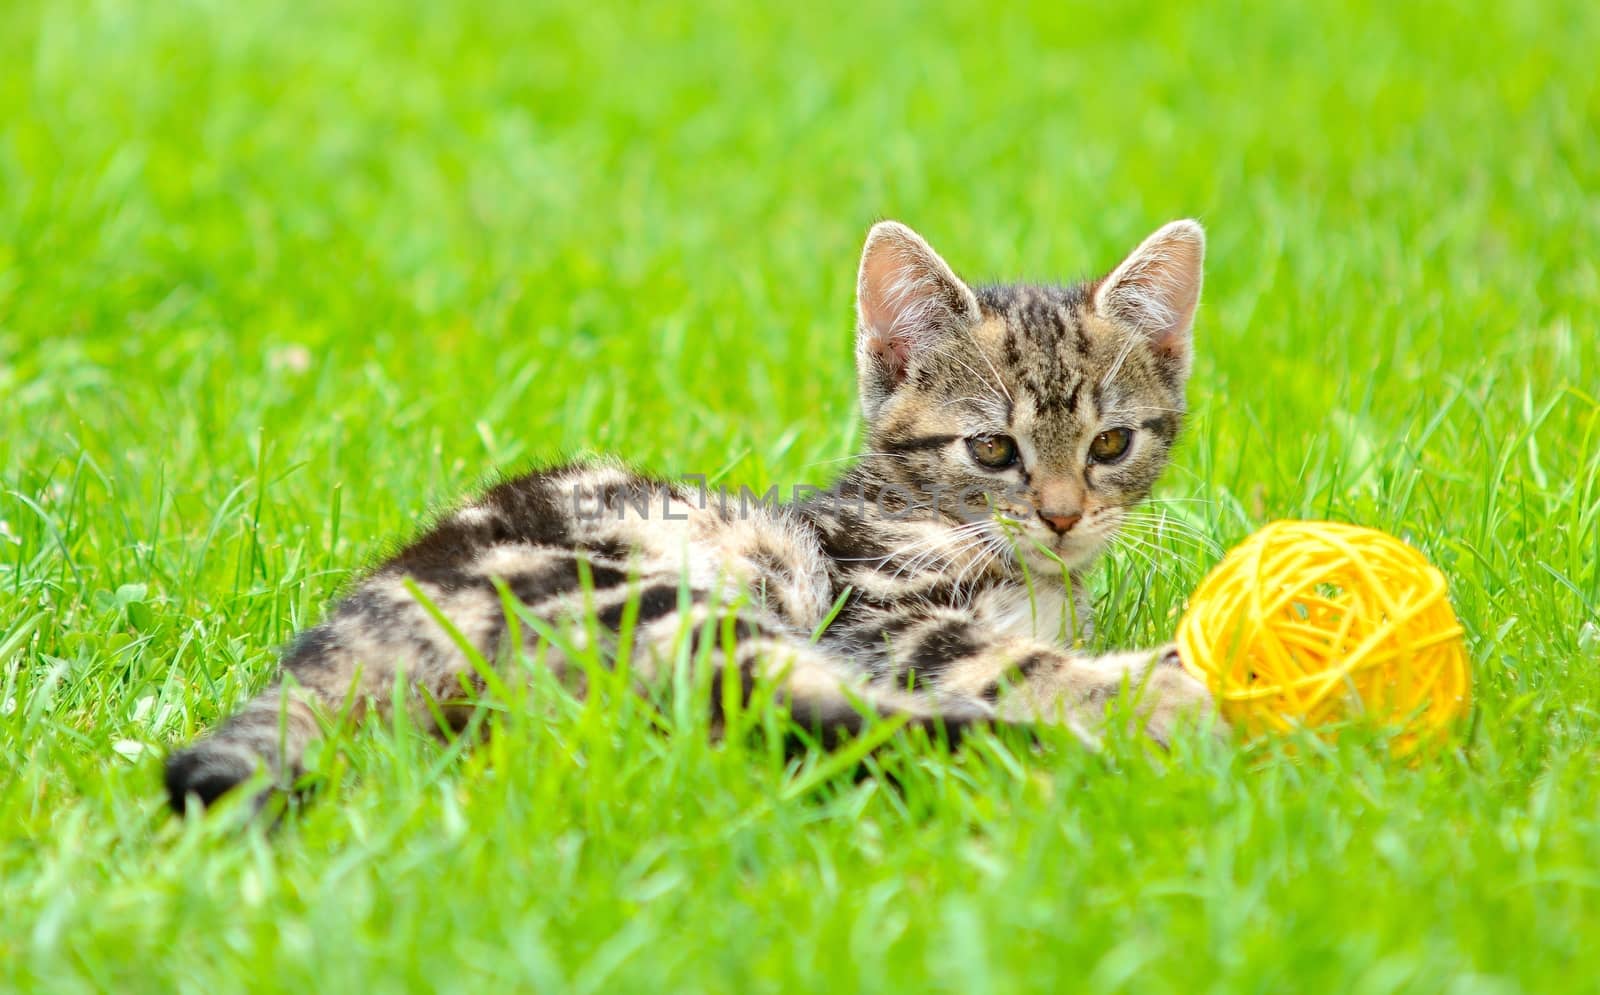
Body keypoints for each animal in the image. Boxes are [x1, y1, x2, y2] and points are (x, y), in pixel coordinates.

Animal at [165, 222, 1209, 815]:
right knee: (815, 713)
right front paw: (1153, 686)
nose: (1064, 517)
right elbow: (1013, 659)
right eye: (992, 450)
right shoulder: (880, 611)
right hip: (661, 602)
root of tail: (355, 622)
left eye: (1111, 443)